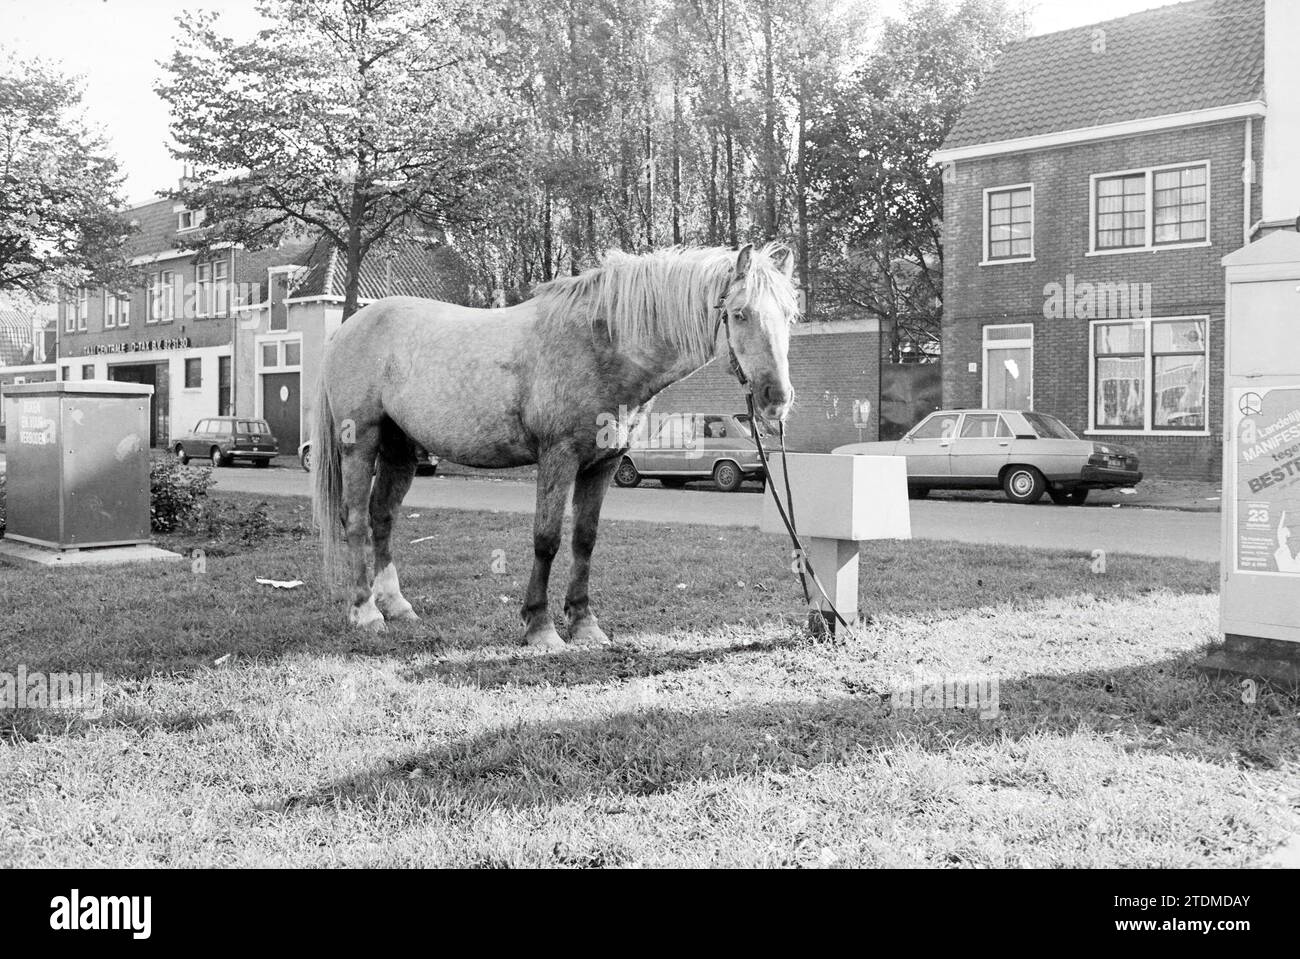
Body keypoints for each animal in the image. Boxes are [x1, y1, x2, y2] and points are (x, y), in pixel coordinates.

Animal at [315, 239, 800, 647]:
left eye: (789, 316)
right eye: (739, 313)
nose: (776, 399)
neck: (600, 344)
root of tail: (346, 328)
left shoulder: (603, 464)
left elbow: (584, 539)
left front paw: (584, 624)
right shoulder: (558, 457)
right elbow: (546, 539)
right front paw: (540, 627)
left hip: (400, 448)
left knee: (382, 516)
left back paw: (397, 606)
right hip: (361, 443)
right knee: (355, 519)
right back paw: (365, 612)